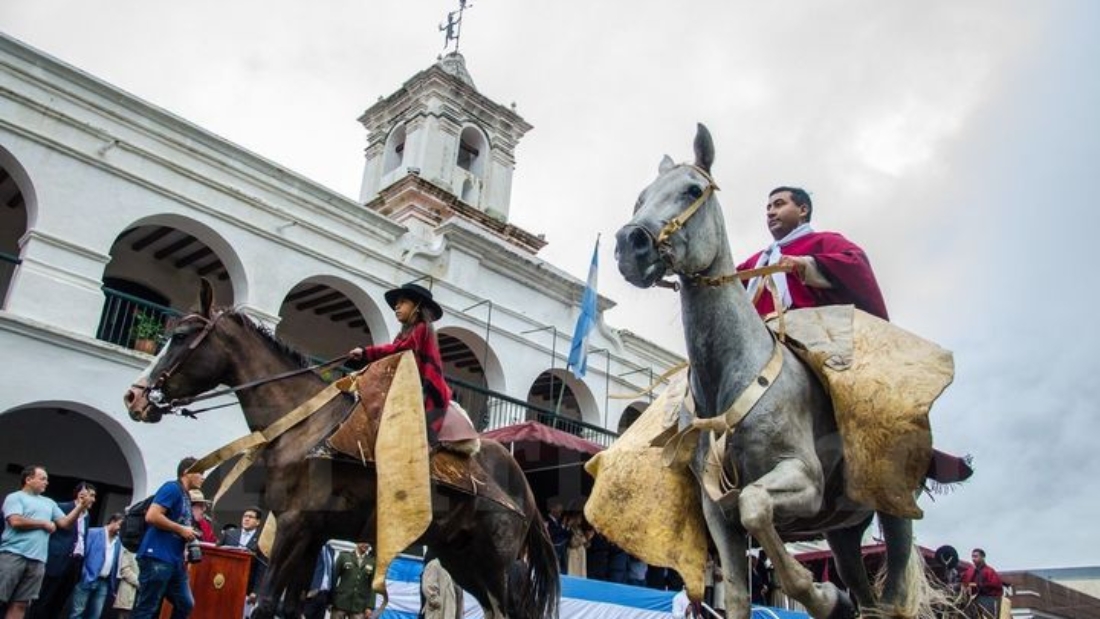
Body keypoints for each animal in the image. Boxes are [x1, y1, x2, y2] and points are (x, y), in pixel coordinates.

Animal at [122, 281, 558, 619]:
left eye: (181, 336)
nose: (134, 397)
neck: (305, 425)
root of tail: (522, 483)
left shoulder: (293, 526)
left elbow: (265, 605)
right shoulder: (312, 534)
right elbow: (290, 607)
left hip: (495, 560)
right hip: (460, 556)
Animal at [616, 124, 932, 619]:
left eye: (691, 190)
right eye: (642, 197)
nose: (631, 244)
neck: (730, 376)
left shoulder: (802, 478)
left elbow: (756, 507)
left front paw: (821, 595)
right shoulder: (716, 511)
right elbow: (738, 593)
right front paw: (829, 598)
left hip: (893, 509)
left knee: (894, 598)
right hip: (843, 530)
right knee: (868, 599)